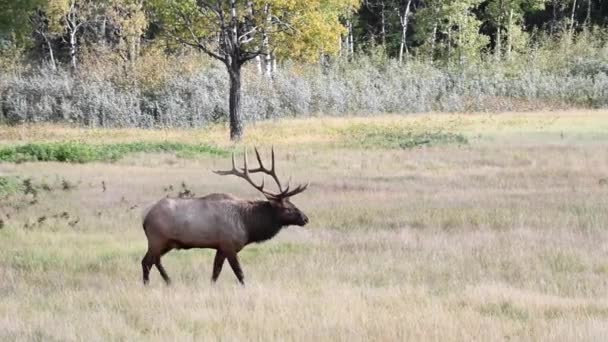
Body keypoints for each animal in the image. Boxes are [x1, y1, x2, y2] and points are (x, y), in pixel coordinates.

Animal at [140, 148, 306, 284]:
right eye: (288, 208)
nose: (305, 218)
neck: (248, 225)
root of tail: (145, 219)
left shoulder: (220, 247)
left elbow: (215, 272)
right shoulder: (229, 245)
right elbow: (239, 273)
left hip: (166, 243)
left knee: (154, 261)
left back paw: (167, 281)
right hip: (156, 239)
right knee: (147, 262)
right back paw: (152, 284)